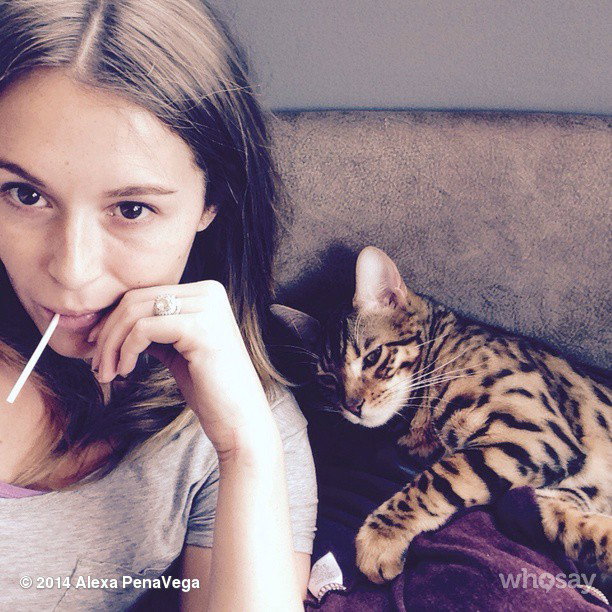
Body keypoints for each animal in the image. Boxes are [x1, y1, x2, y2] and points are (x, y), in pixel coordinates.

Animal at [271, 246, 611, 585]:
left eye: (373, 357)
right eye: (327, 379)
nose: (352, 407)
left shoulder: (534, 435)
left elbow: (438, 478)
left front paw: (381, 537)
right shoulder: (554, 484)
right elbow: (553, 519)